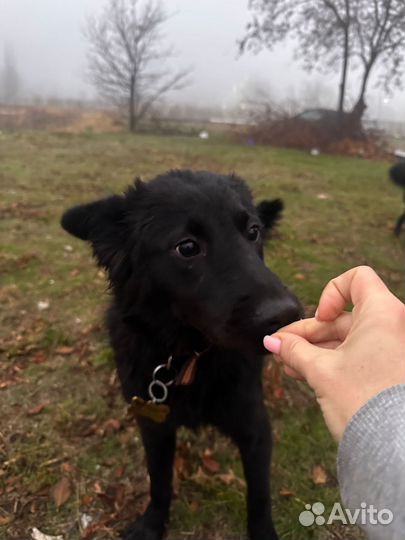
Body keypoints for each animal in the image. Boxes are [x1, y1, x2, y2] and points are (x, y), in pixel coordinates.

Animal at [61, 171, 302, 540]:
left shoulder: (255, 428)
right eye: (187, 247)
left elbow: (259, 495)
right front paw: (152, 523)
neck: (190, 357)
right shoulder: (154, 426)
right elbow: (159, 483)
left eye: (253, 231)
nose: (286, 315)